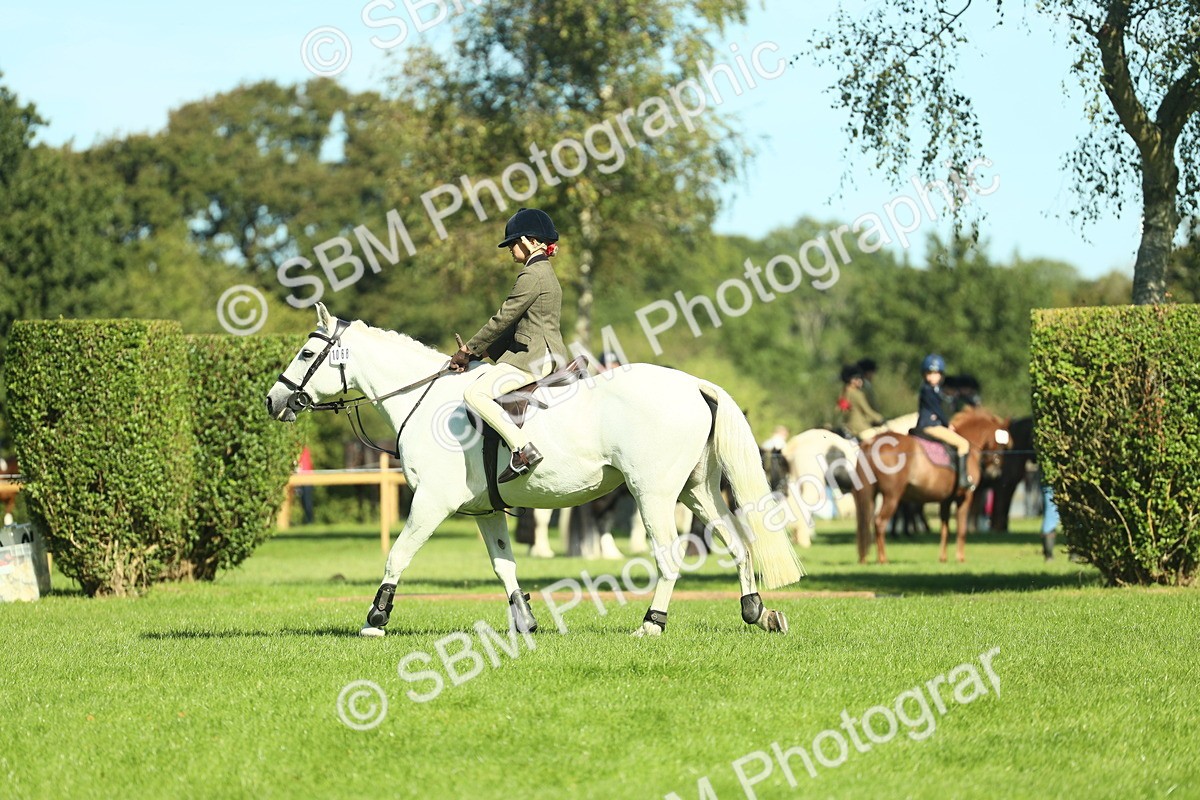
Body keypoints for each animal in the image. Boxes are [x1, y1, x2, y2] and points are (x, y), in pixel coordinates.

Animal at [266, 304, 805, 637]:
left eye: (308, 353)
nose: (273, 401)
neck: (426, 400)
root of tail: (692, 383)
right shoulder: (485, 513)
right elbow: (504, 565)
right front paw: (525, 623)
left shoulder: (431, 503)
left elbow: (397, 556)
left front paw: (376, 617)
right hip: (697, 490)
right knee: (737, 544)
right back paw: (756, 612)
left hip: (652, 494)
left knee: (670, 556)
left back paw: (652, 623)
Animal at [851, 408, 1011, 564]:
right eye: (1001, 444)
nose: (995, 473)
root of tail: (872, 442)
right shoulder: (965, 497)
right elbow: (961, 529)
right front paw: (960, 558)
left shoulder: (946, 500)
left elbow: (945, 529)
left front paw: (943, 558)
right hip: (892, 496)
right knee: (880, 523)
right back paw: (883, 559)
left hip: (873, 495)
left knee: (866, 523)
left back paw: (865, 559)